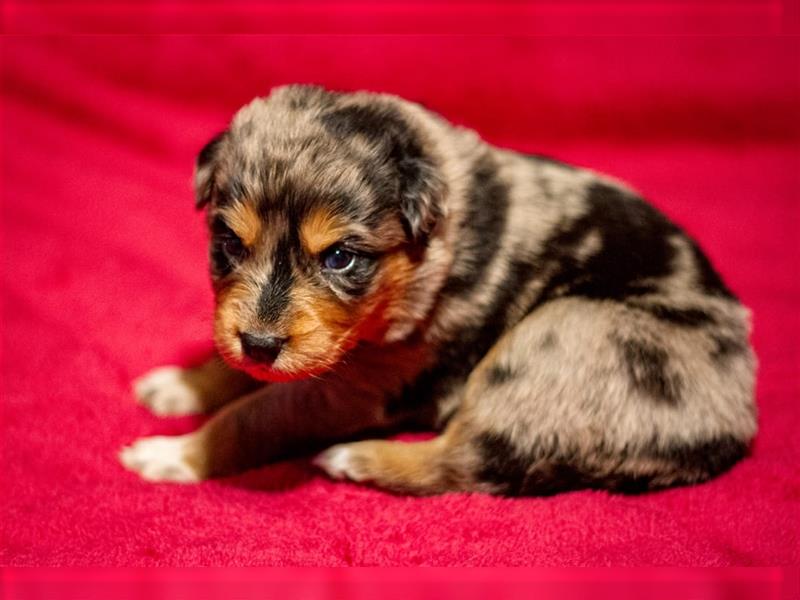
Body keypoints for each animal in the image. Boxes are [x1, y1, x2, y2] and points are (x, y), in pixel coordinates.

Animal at [119, 85, 756, 496]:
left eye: (341, 257)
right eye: (229, 243)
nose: (259, 343)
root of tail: (735, 425)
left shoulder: (358, 388)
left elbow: (257, 413)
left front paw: (175, 453)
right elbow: (238, 369)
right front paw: (182, 384)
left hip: (561, 334)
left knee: (462, 463)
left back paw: (355, 459)